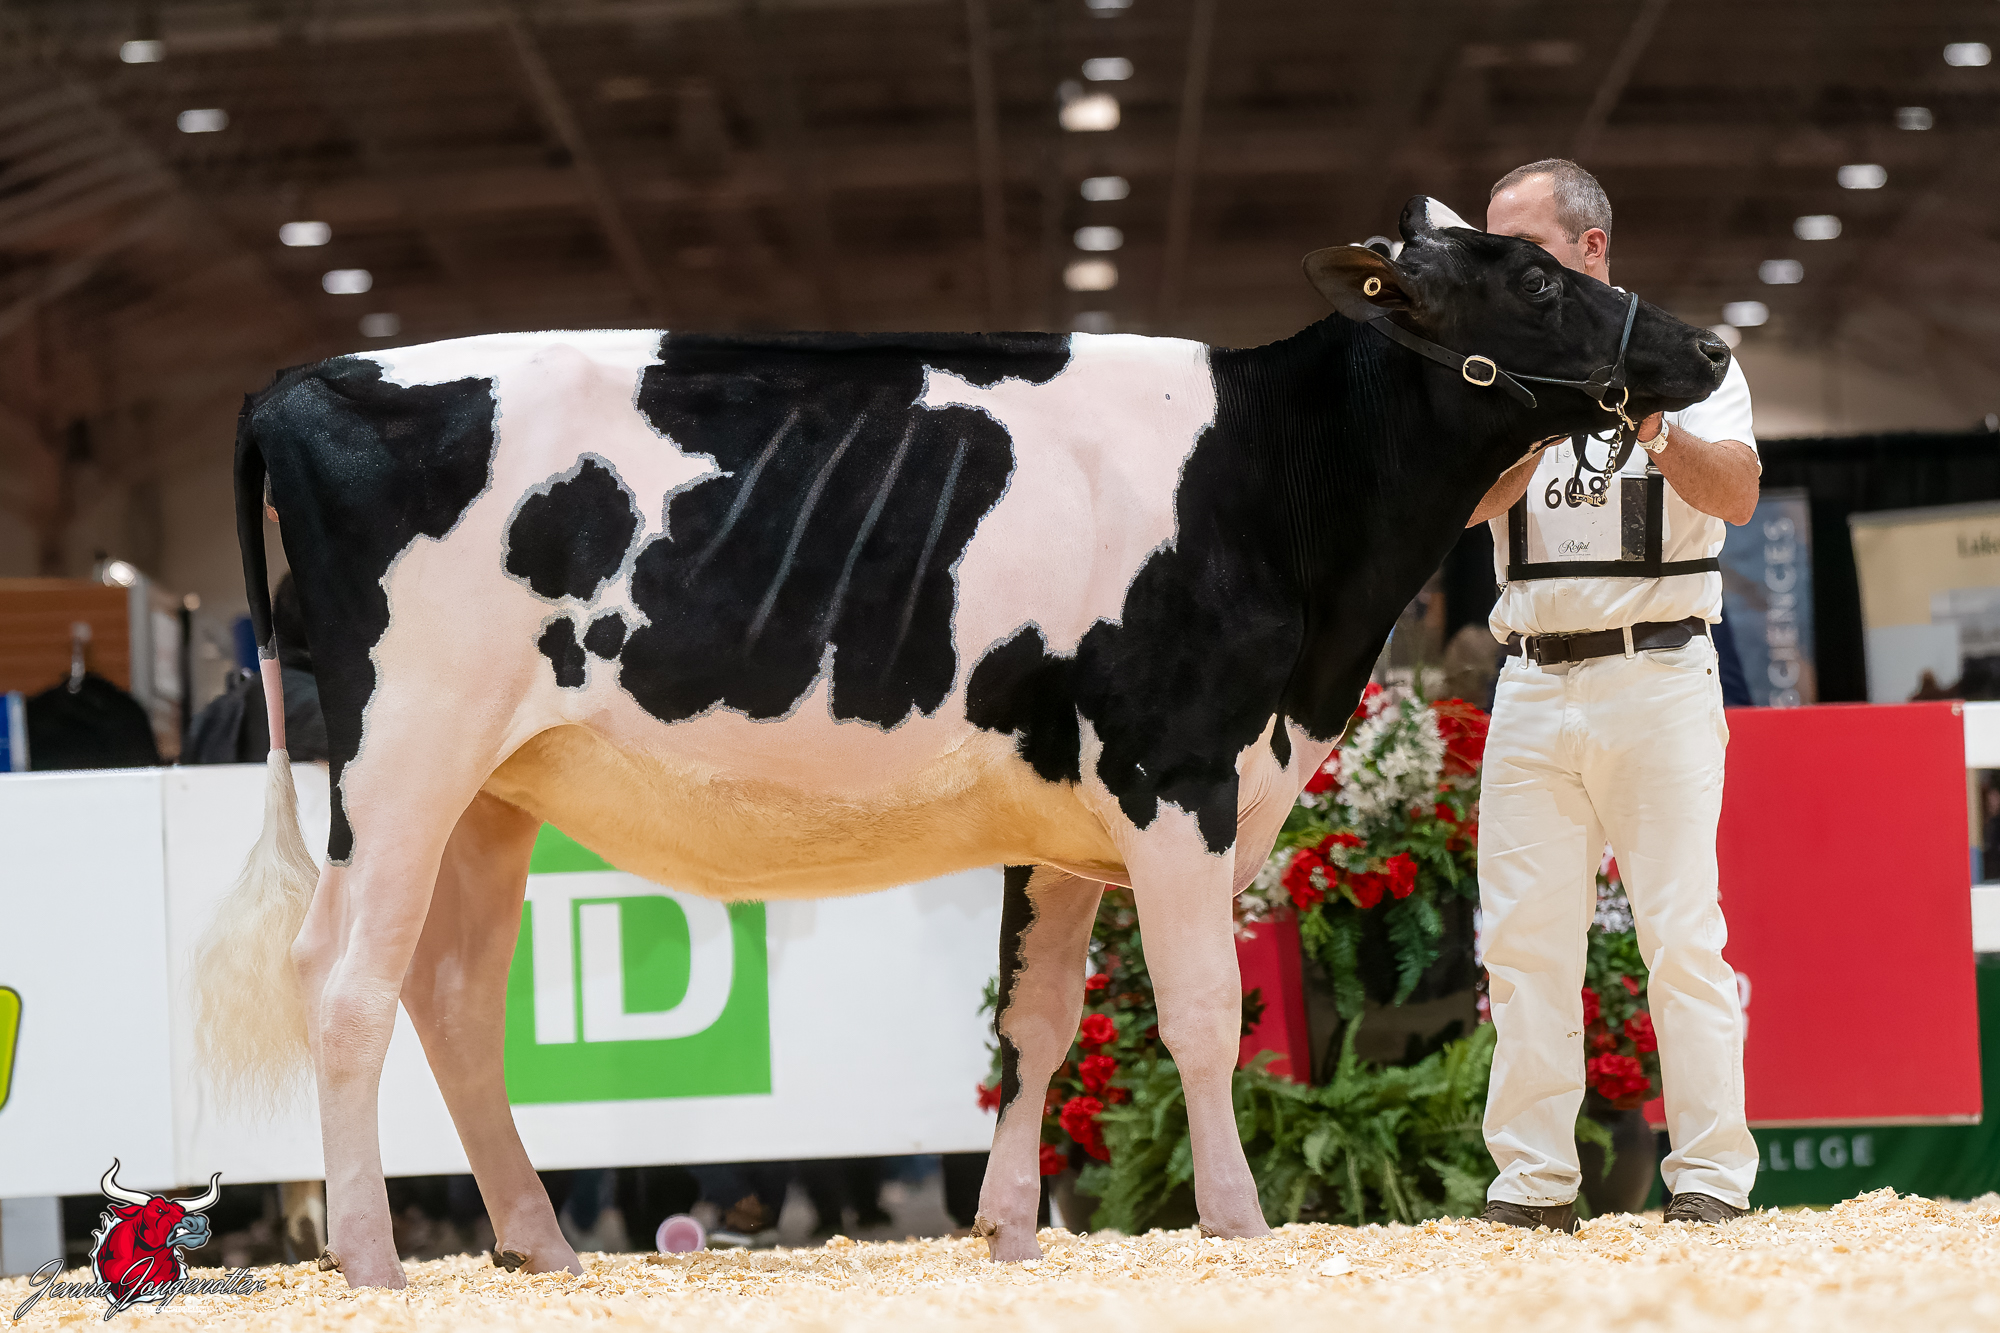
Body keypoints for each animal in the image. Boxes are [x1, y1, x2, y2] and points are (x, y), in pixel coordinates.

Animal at [195, 197, 1730, 1286]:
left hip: (494, 790)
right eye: (1534, 280)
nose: (1709, 347)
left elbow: (1037, 1024)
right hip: (402, 756)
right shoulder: (1173, 772)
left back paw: (538, 1242)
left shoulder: (1060, 814)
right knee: (344, 982)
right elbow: (1200, 1014)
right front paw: (1237, 1220)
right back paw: (372, 1258)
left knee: (454, 998)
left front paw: (1009, 1230)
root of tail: (300, 378)